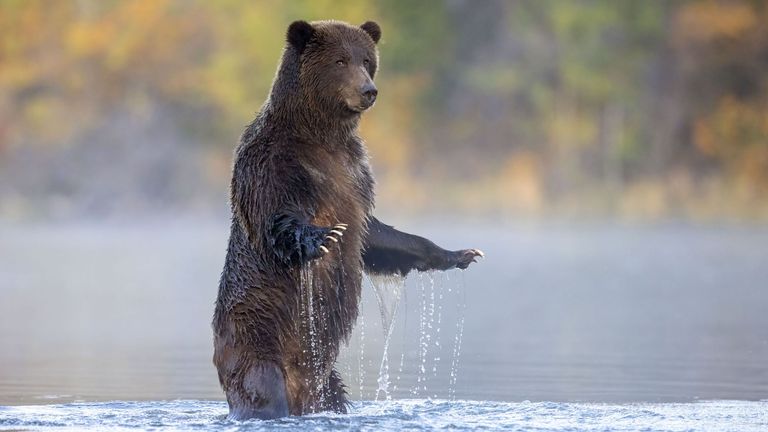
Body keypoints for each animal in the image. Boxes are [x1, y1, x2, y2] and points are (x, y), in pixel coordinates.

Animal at [213, 19, 484, 418]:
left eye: (367, 60)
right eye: (340, 60)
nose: (368, 90)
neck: (320, 135)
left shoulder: (355, 177)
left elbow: (376, 236)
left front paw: (461, 254)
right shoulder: (272, 163)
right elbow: (276, 219)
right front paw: (323, 237)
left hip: (327, 380)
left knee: (334, 395)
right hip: (257, 339)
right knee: (262, 388)